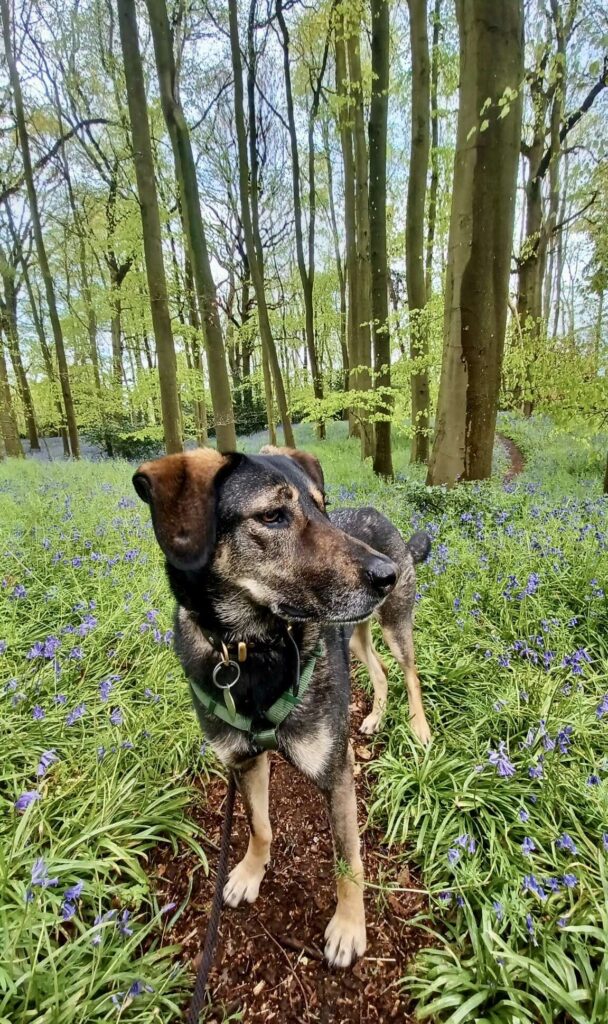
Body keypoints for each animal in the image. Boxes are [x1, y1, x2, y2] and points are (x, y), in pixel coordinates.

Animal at [131, 442, 429, 966]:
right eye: (272, 515)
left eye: (323, 507)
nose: (387, 576)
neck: (250, 649)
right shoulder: (244, 762)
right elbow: (259, 825)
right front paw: (251, 872)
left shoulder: (335, 772)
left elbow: (348, 860)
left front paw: (349, 928)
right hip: (355, 638)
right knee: (380, 672)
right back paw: (374, 717)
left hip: (394, 624)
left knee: (409, 673)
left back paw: (419, 728)